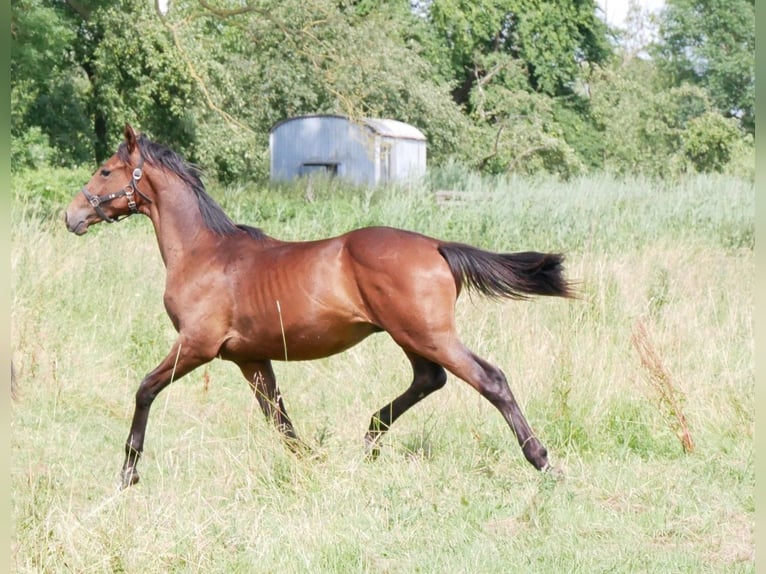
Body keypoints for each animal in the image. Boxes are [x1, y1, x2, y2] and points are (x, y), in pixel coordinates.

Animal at [65, 124, 574, 489]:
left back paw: (543, 461)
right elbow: (279, 419)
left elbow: (145, 390)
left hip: (429, 334)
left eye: (106, 171)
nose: (72, 215)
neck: (203, 252)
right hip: (411, 336)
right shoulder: (250, 357)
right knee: (430, 380)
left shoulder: (197, 345)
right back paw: (370, 436)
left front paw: (128, 472)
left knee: (490, 379)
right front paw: (312, 461)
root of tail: (435, 245)